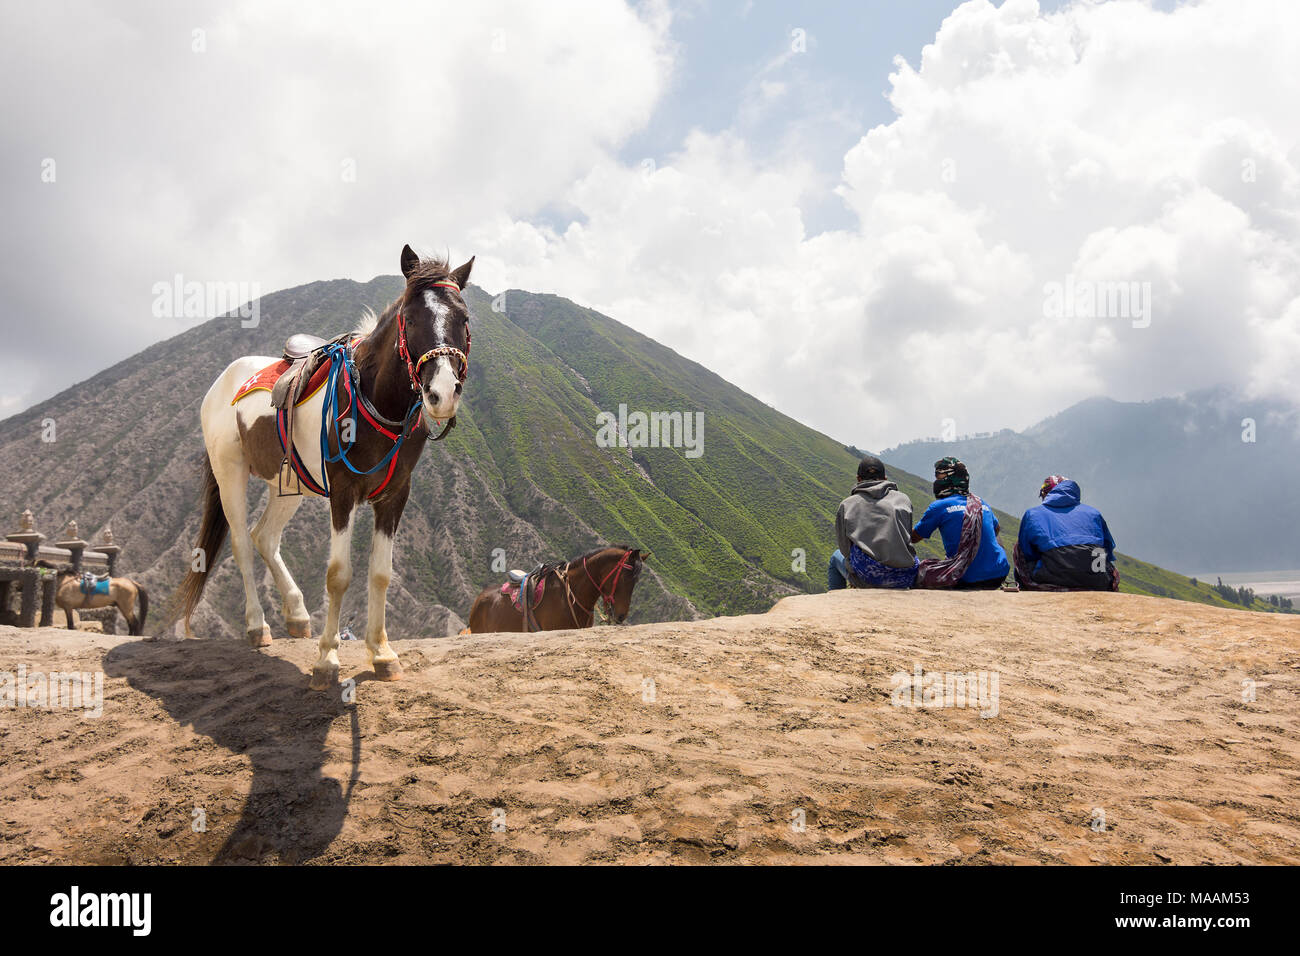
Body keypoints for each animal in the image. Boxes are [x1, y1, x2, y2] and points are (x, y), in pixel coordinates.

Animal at [171, 244, 473, 697]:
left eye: (463, 319)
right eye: (410, 318)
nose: (441, 393)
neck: (374, 400)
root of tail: (222, 383)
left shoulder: (395, 496)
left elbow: (381, 574)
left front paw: (382, 654)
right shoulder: (344, 492)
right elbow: (338, 575)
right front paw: (327, 661)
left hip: (289, 485)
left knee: (265, 537)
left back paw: (296, 616)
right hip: (230, 474)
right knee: (242, 543)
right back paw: (258, 626)